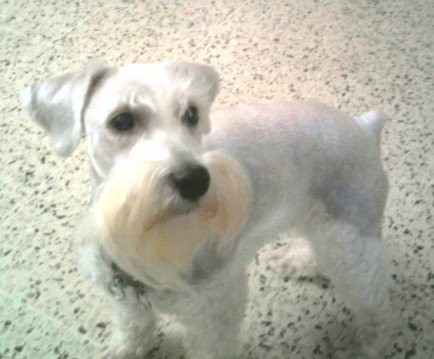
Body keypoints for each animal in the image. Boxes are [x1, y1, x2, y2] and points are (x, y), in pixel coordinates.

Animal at [20, 60, 394, 358]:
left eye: (191, 113)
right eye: (122, 120)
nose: (195, 179)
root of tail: (363, 125)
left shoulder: (215, 313)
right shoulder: (126, 300)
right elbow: (132, 328)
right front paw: (124, 350)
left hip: (354, 246)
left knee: (375, 304)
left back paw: (369, 344)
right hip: (321, 222)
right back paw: (297, 259)